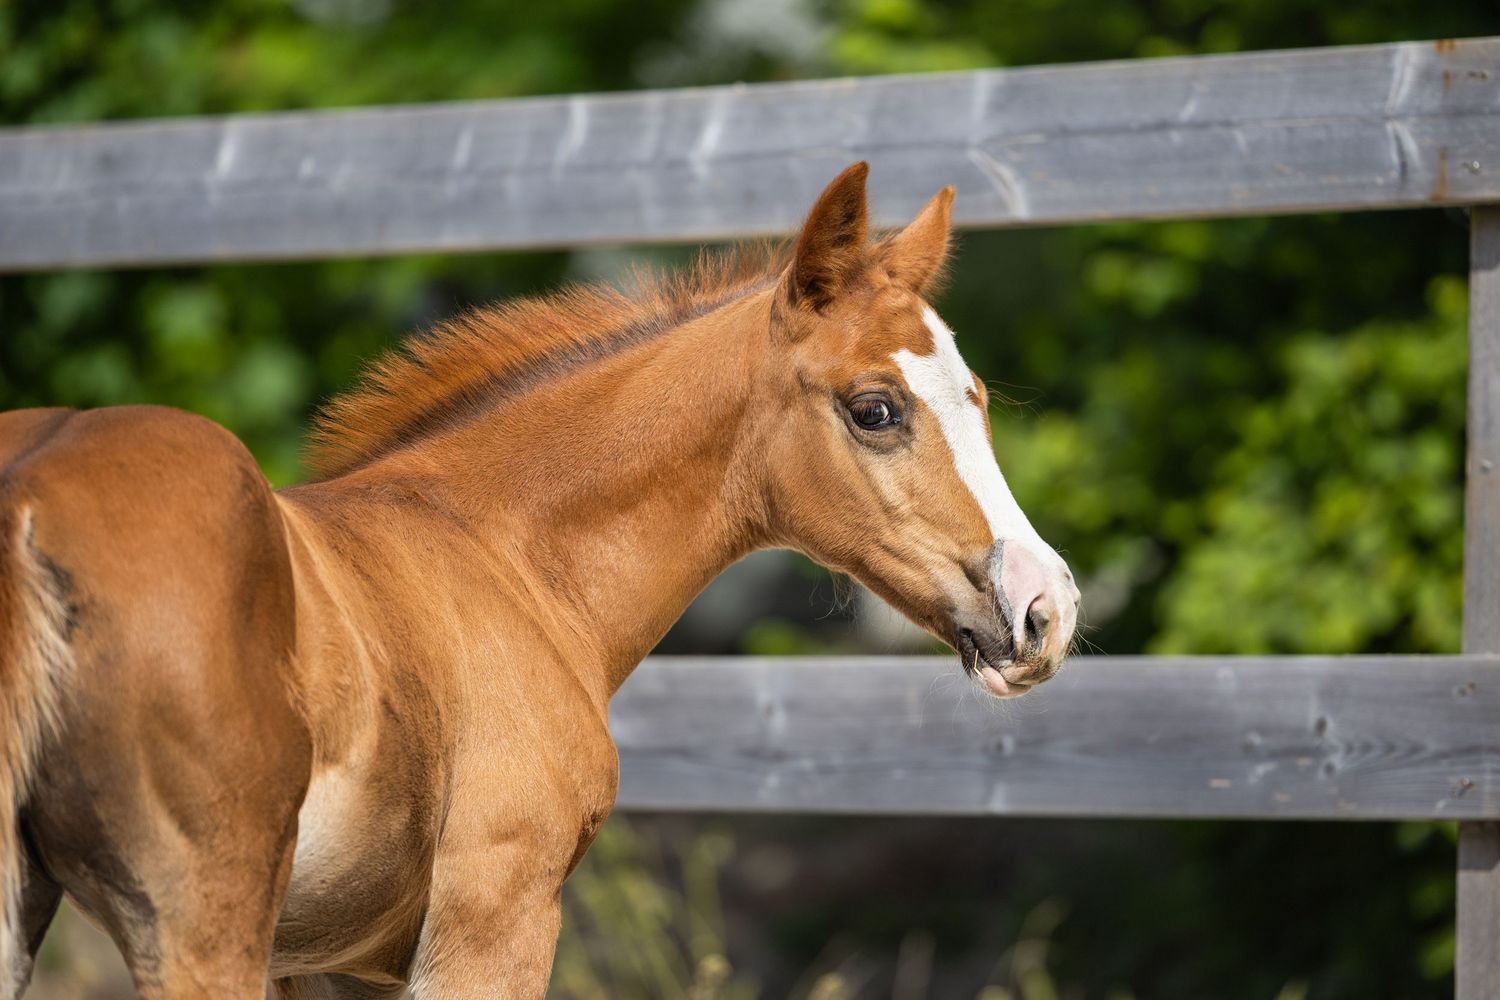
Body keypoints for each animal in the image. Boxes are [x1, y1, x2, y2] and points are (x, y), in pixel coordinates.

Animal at [0, 162, 1079, 998]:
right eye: (875, 409)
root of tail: (28, 498)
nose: (1046, 607)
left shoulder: (323, 962)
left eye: (978, 397)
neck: (506, 553)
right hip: (200, 922)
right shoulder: (498, 915)